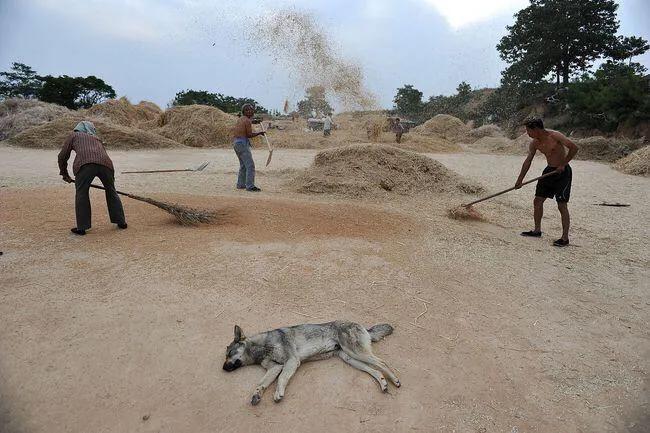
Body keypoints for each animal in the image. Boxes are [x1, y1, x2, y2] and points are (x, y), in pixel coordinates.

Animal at [223, 318, 400, 404]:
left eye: (229, 352)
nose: (224, 368)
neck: (260, 347)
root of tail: (363, 327)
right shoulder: (274, 368)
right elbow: (261, 383)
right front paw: (257, 394)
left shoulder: (291, 361)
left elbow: (282, 378)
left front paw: (278, 393)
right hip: (351, 359)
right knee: (375, 370)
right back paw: (383, 384)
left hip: (356, 353)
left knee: (382, 363)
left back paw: (395, 380)